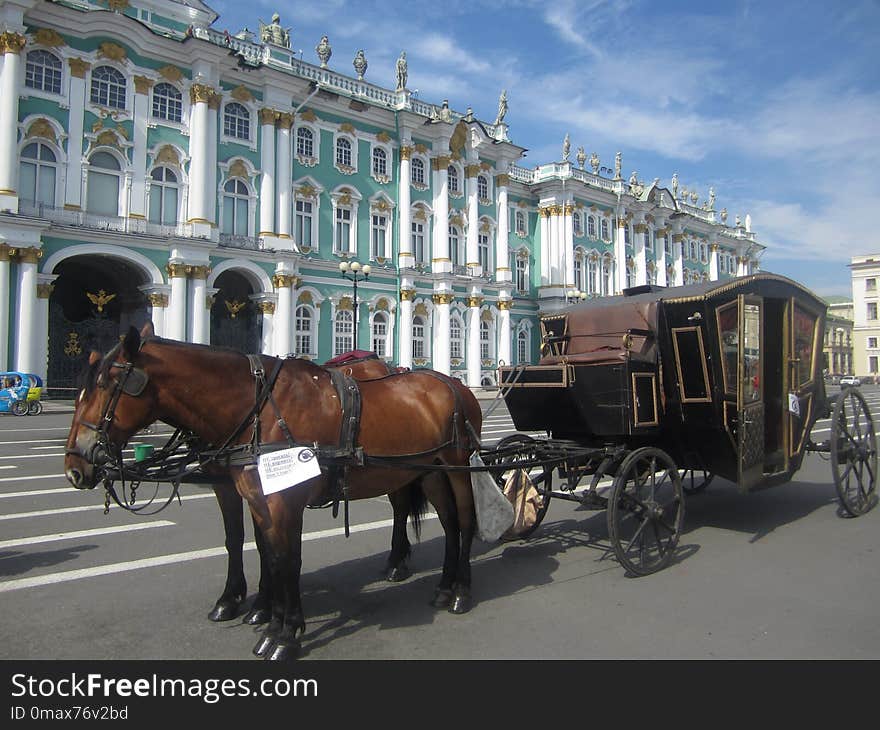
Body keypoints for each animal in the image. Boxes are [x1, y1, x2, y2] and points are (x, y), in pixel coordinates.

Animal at [66, 322, 484, 656]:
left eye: (106, 385)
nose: (75, 466)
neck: (257, 411)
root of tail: (452, 383)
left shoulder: (286, 501)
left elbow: (287, 559)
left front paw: (284, 633)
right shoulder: (253, 496)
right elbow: (261, 550)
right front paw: (262, 615)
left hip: (456, 466)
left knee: (463, 521)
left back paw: (460, 591)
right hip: (427, 471)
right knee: (446, 523)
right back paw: (440, 586)